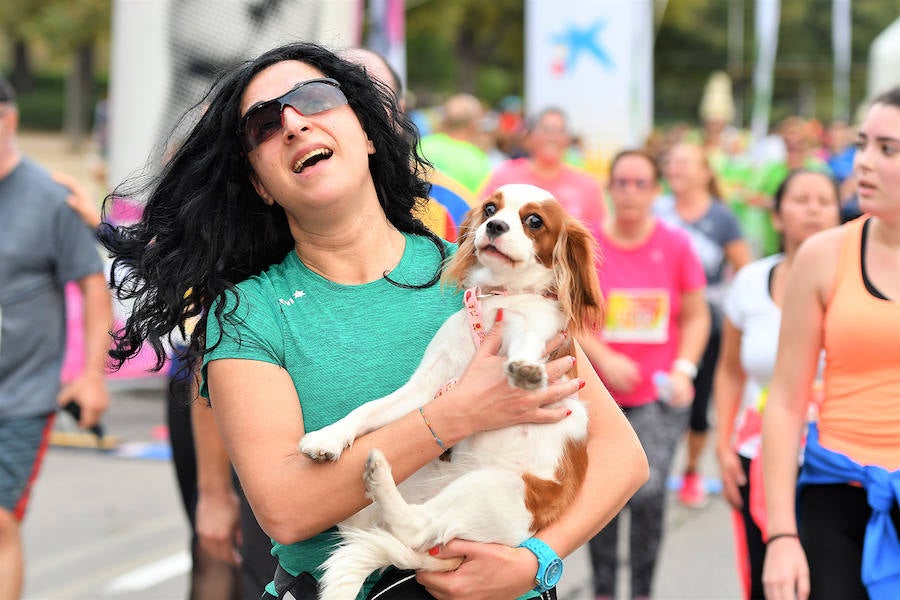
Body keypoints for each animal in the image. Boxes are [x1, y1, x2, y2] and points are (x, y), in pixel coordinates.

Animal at [298, 183, 600, 600]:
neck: (499, 298)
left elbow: (526, 344)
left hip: (496, 488)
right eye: (490, 209)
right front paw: (328, 438)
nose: (494, 226)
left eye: (534, 221)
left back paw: (378, 476)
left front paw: (526, 371)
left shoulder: (534, 329)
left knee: (419, 526)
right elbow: (367, 410)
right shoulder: (427, 386)